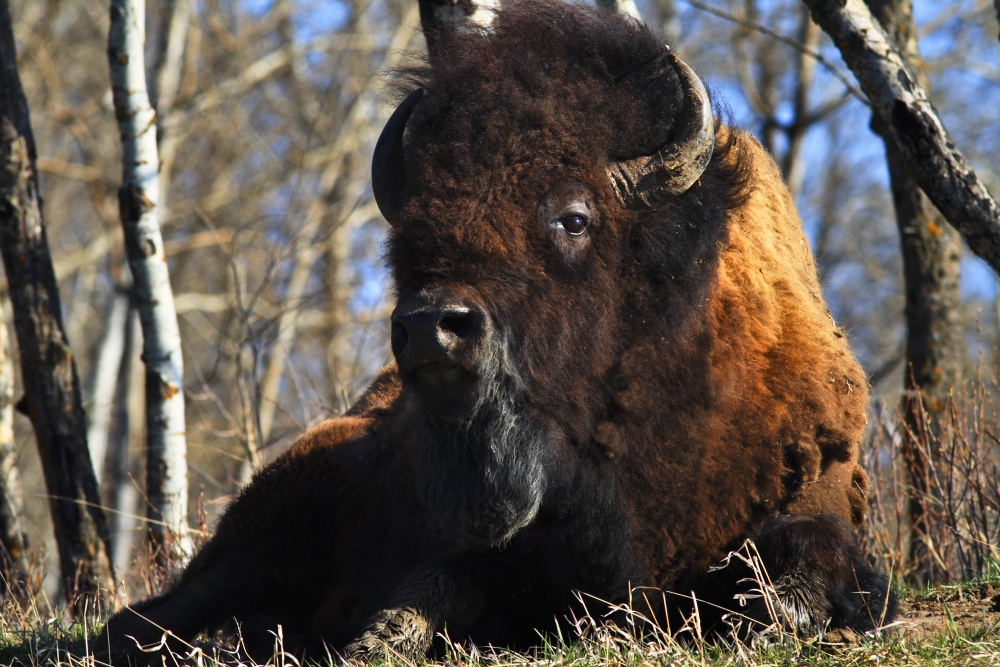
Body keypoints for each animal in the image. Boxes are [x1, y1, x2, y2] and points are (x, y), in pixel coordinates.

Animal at [99, 1, 896, 661]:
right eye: (409, 230)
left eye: (574, 217)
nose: (433, 328)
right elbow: (441, 583)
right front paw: (378, 636)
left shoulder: (819, 491)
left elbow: (805, 556)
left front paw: (778, 611)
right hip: (262, 529)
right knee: (143, 617)